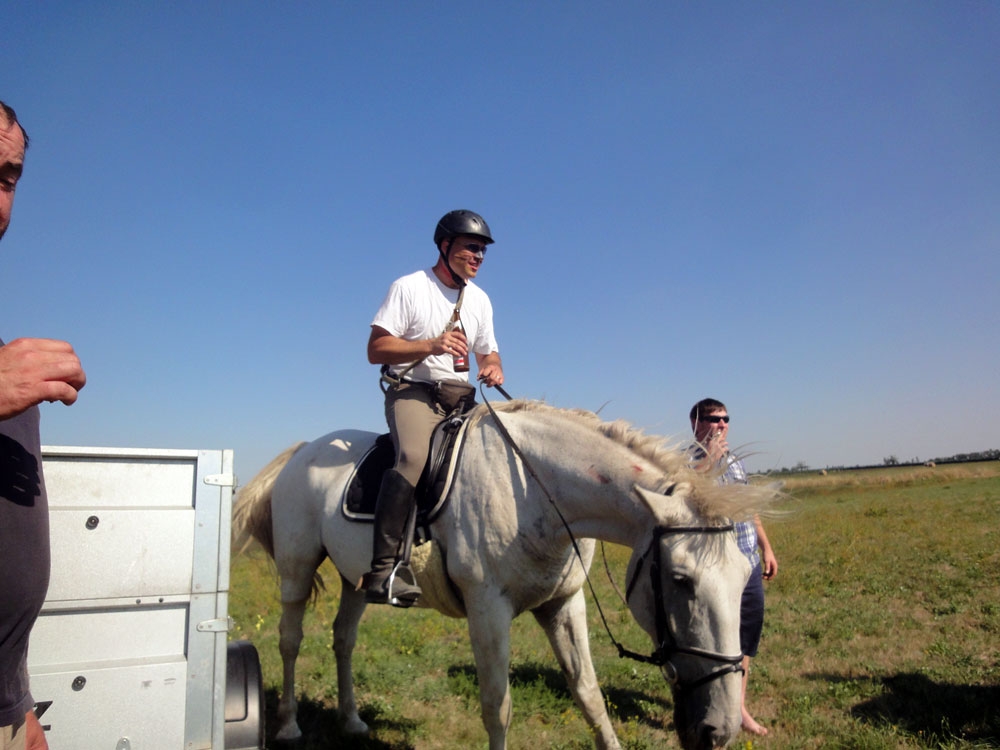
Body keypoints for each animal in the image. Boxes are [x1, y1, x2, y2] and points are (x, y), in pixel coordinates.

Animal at [232, 400, 772, 750]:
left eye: (744, 578)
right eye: (681, 579)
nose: (719, 730)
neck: (534, 487)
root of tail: (305, 448)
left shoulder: (563, 604)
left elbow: (589, 695)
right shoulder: (487, 611)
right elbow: (498, 706)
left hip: (357, 582)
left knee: (342, 639)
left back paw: (351, 721)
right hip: (297, 569)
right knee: (290, 640)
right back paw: (289, 727)